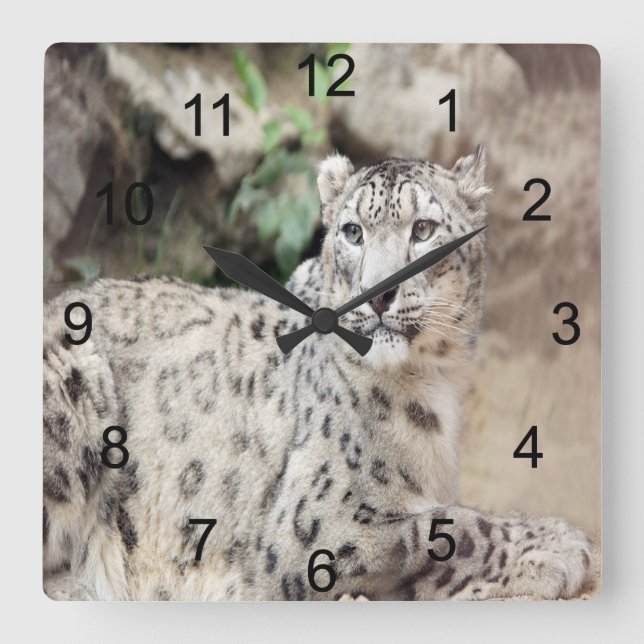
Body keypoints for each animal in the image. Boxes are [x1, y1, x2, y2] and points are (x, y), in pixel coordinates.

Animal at [42, 146, 593, 601]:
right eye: (353, 232)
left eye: (424, 229)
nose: (378, 293)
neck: (435, 380)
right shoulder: (316, 525)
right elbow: (445, 527)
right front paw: (557, 544)